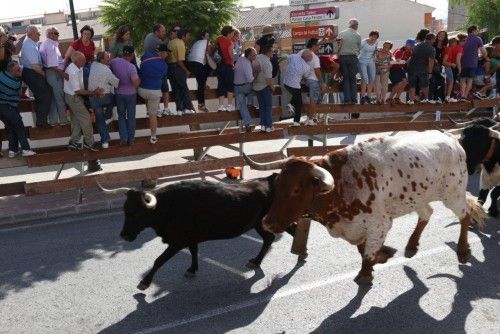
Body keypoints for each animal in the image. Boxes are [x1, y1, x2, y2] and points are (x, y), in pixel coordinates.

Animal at [96, 175, 296, 290]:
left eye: (138, 212)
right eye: (125, 210)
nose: (124, 235)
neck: (169, 205)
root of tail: (270, 180)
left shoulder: (177, 241)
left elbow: (159, 260)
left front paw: (145, 282)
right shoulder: (190, 238)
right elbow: (194, 251)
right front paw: (192, 270)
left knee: (288, 232)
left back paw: (299, 257)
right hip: (259, 224)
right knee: (269, 238)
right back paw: (256, 261)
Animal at [244, 130, 486, 284]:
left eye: (295, 189)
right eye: (277, 185)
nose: (267, 222)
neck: (340, 185)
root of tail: (451, 139)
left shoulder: (380, 223)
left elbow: (368, 252)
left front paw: (366, 273)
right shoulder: (357, 227)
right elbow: (363, 248)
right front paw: (384, 255)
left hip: (453, 193)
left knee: (464, 215)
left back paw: (462, 250)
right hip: (418, 197)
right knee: (427, 213)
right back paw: (411, 245)